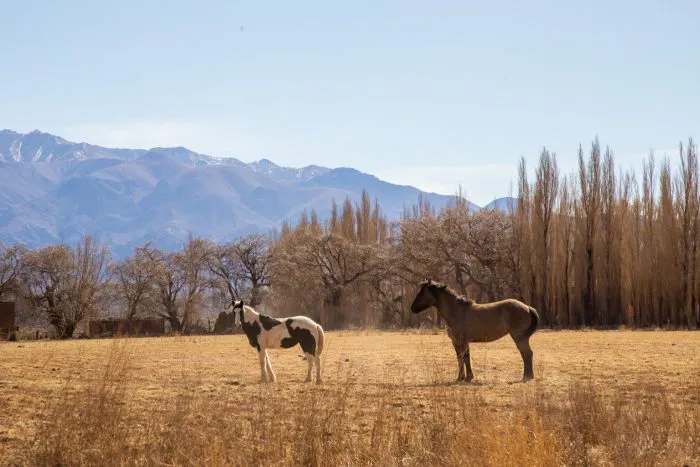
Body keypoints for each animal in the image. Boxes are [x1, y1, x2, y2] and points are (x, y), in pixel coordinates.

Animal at [410, 279, 539, 382]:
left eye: (423, 293)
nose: (412, 308)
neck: (457, 312)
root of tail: (528, 307)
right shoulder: (456, 342)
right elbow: (460, 358)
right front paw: (460, 378)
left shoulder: (463, 341)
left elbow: (466, 358)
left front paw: (468, 378)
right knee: (526, 354)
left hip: (519, 337)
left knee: (527, 353)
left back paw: (527, 377)